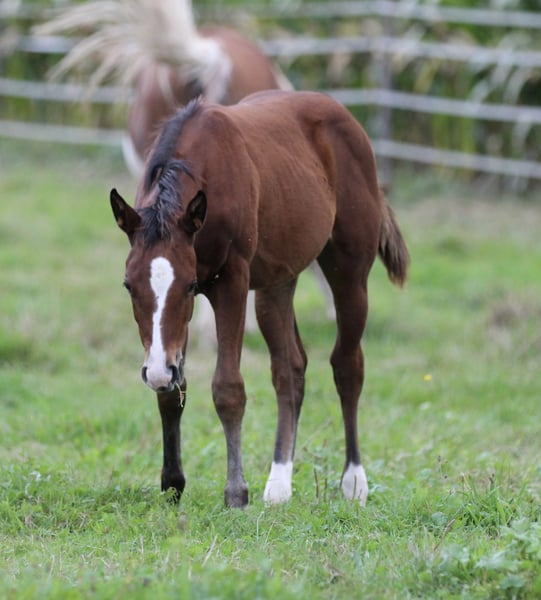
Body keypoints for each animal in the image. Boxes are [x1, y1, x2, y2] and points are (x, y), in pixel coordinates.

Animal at [110, 90, 409, 508]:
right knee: (290, 368)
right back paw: (279, 483)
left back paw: (353, 481)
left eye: (189, 285)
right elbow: (172, 390)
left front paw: (236, 492)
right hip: (276, 284)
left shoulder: (232, 282)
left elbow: (228, 388)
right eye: (128, 286)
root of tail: (344, 115)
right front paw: (172, 484)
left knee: (347, 366)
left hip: (349, 273)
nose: (154, 370)